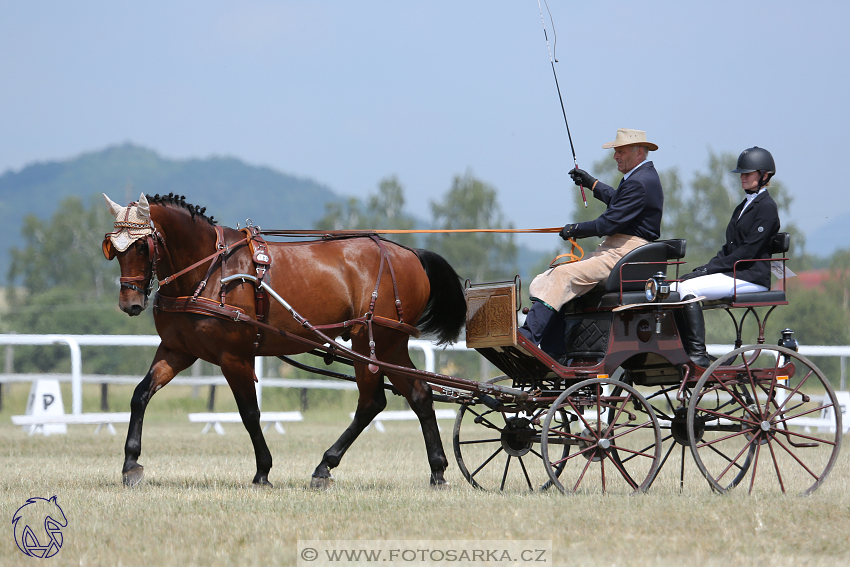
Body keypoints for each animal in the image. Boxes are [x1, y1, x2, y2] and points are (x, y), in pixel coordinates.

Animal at [104, 194, 470, 488]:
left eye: (142, 245)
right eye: (112, 249)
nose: (129, 303)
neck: (210, 270)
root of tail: (410, 254)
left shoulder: (234, 356)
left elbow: (249, 412)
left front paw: (263, 471)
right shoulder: (177, 350)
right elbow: (140, 395)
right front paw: (130, 463)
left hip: (373, 343)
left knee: (373, 402)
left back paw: (326, 465)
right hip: (387, 345)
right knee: (418, 395)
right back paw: (436, 470)